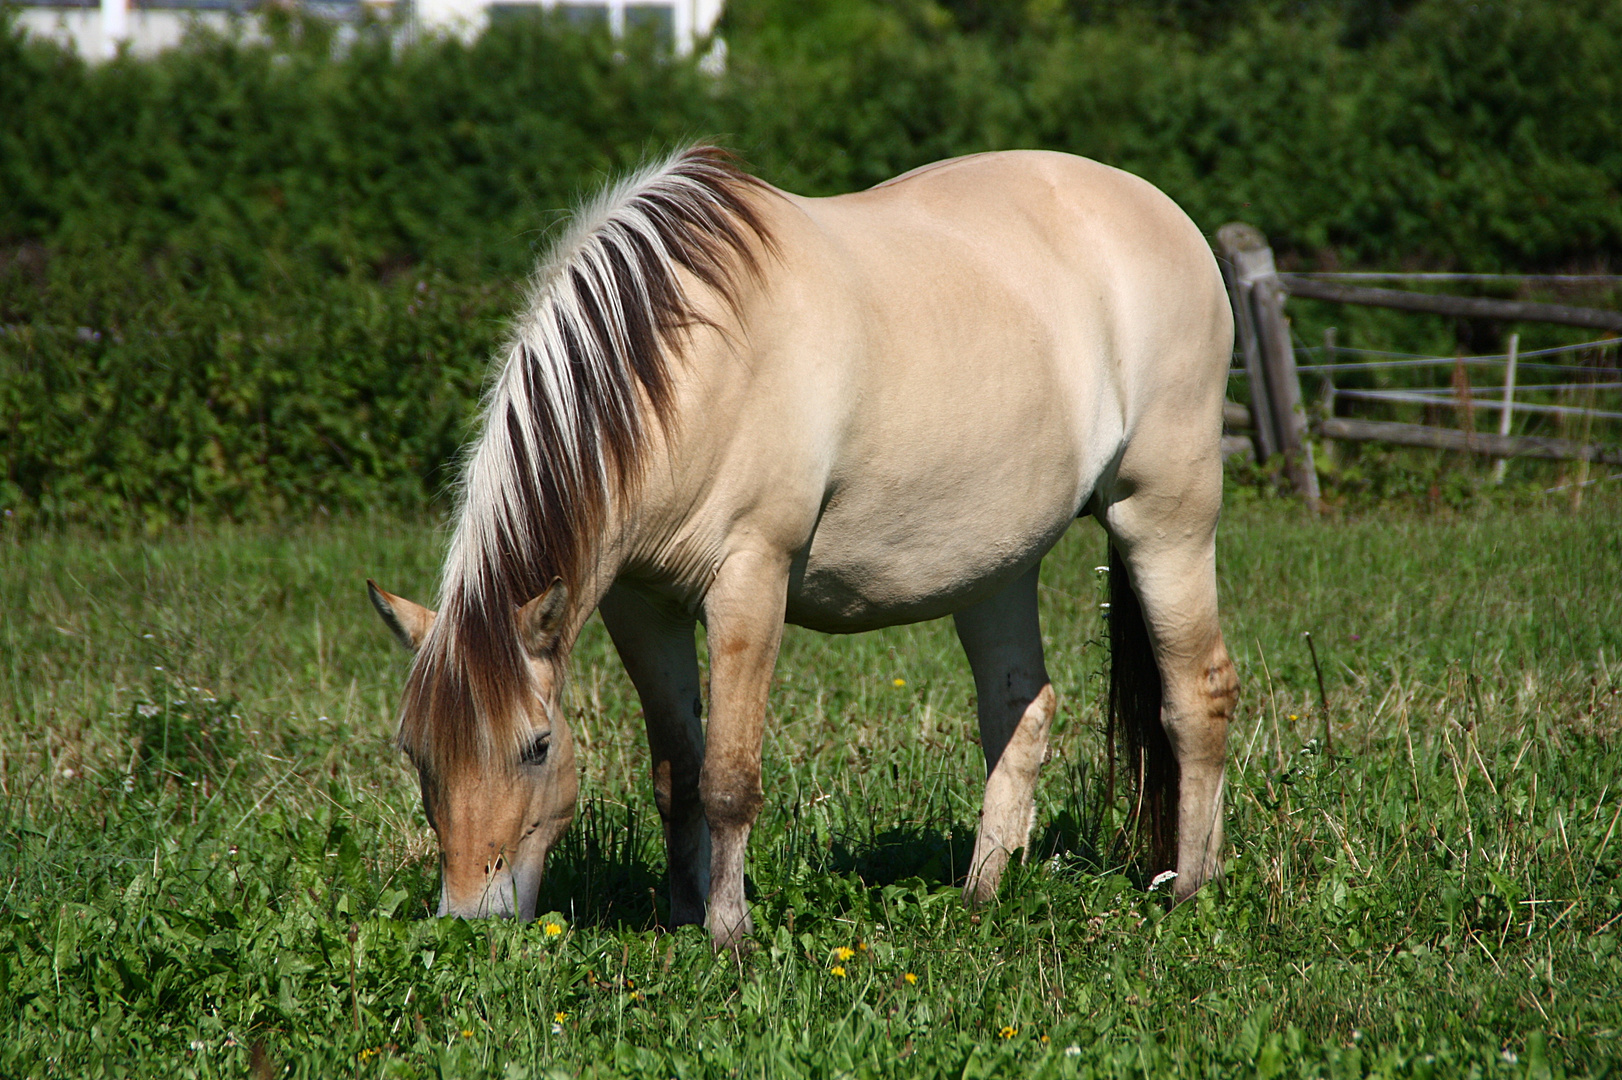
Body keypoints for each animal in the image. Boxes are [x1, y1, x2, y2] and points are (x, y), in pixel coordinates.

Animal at [368, 145, 1232, 940]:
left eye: (538, 747)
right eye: (415, 753)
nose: (469, 921)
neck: (690, 366)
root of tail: (1165, 216)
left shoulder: (750, 579)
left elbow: (727, 778)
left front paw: (730, 933)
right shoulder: (640, 605)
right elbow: (677, 774)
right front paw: (684, 916)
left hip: (1164, 519)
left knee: (1200, 693)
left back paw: (1193, 890)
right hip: (998, 563)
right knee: (1019, 706)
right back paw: (981, 896)